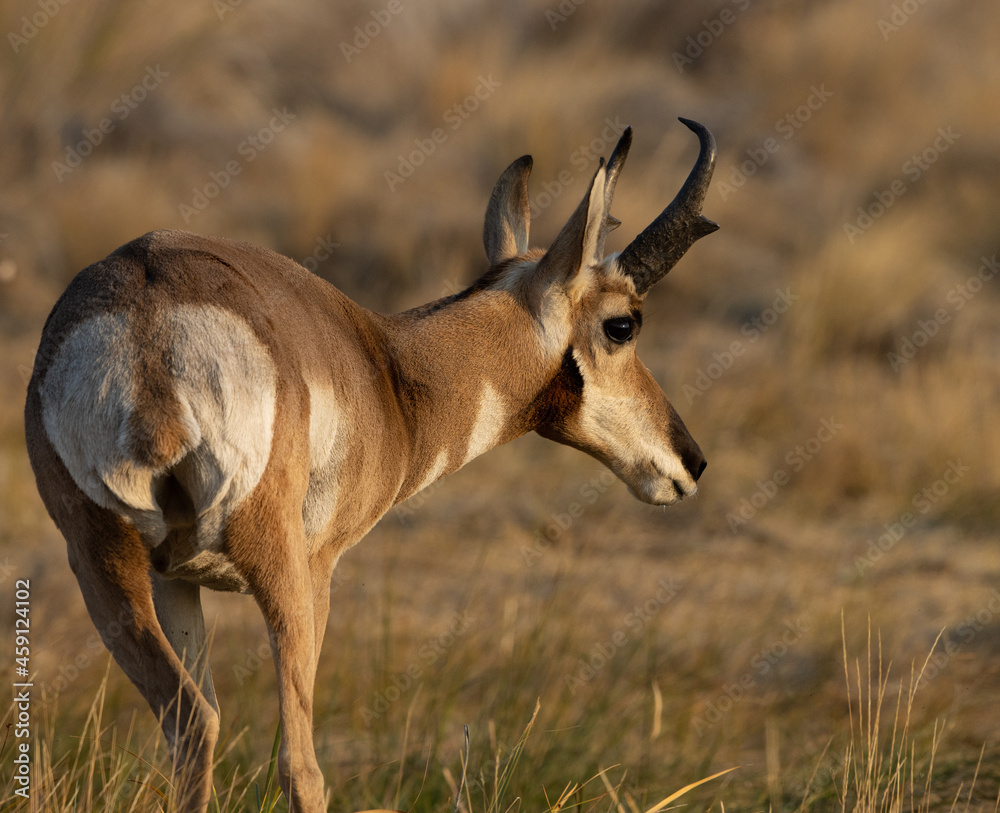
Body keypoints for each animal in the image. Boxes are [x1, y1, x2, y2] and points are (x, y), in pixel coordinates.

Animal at [24, 118, 718, 812]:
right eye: (622, 324)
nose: (692, 461)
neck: (388, 367)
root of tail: (148, 319)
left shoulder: (176, 579)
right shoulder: (319, 569)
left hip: (106, 569)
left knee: (192, 723)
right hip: (278, 572)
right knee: (295, 764)